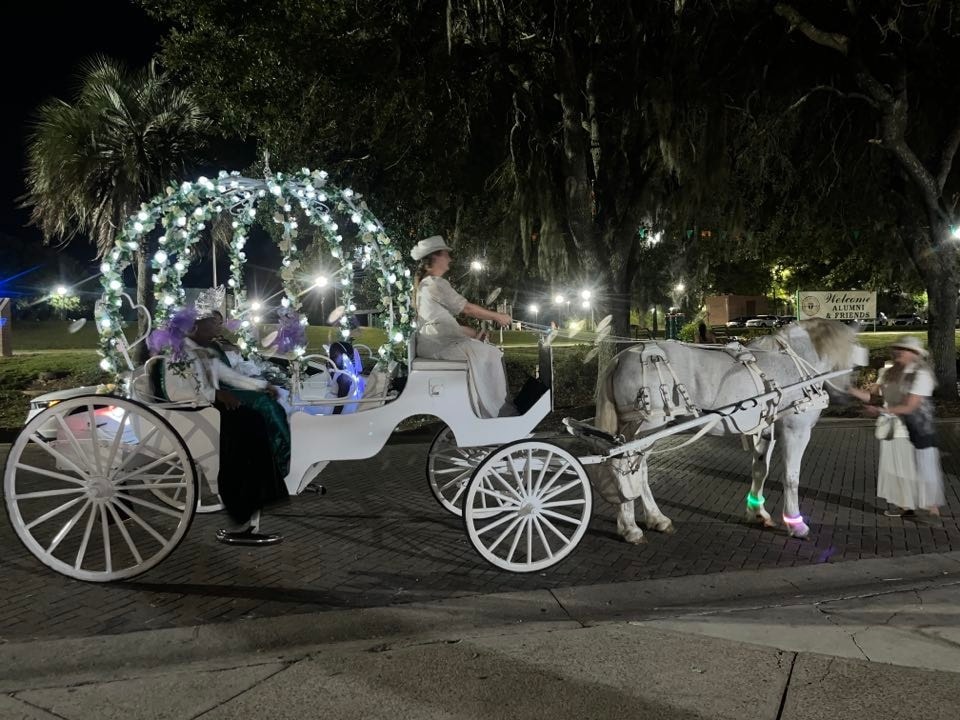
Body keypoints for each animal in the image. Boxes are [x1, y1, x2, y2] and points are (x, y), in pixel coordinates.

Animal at [588, 318, 868, 544]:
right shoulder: (795, 430)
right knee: (626, 467)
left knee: (637, 471)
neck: (793, 362)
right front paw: (795, 523)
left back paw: (656, 519)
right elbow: (791, 477)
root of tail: (621, 357)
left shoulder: (765, 429)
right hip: (648, 427)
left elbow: (760, 470)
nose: (848, 397)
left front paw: (757, 512)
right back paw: (631, 528)